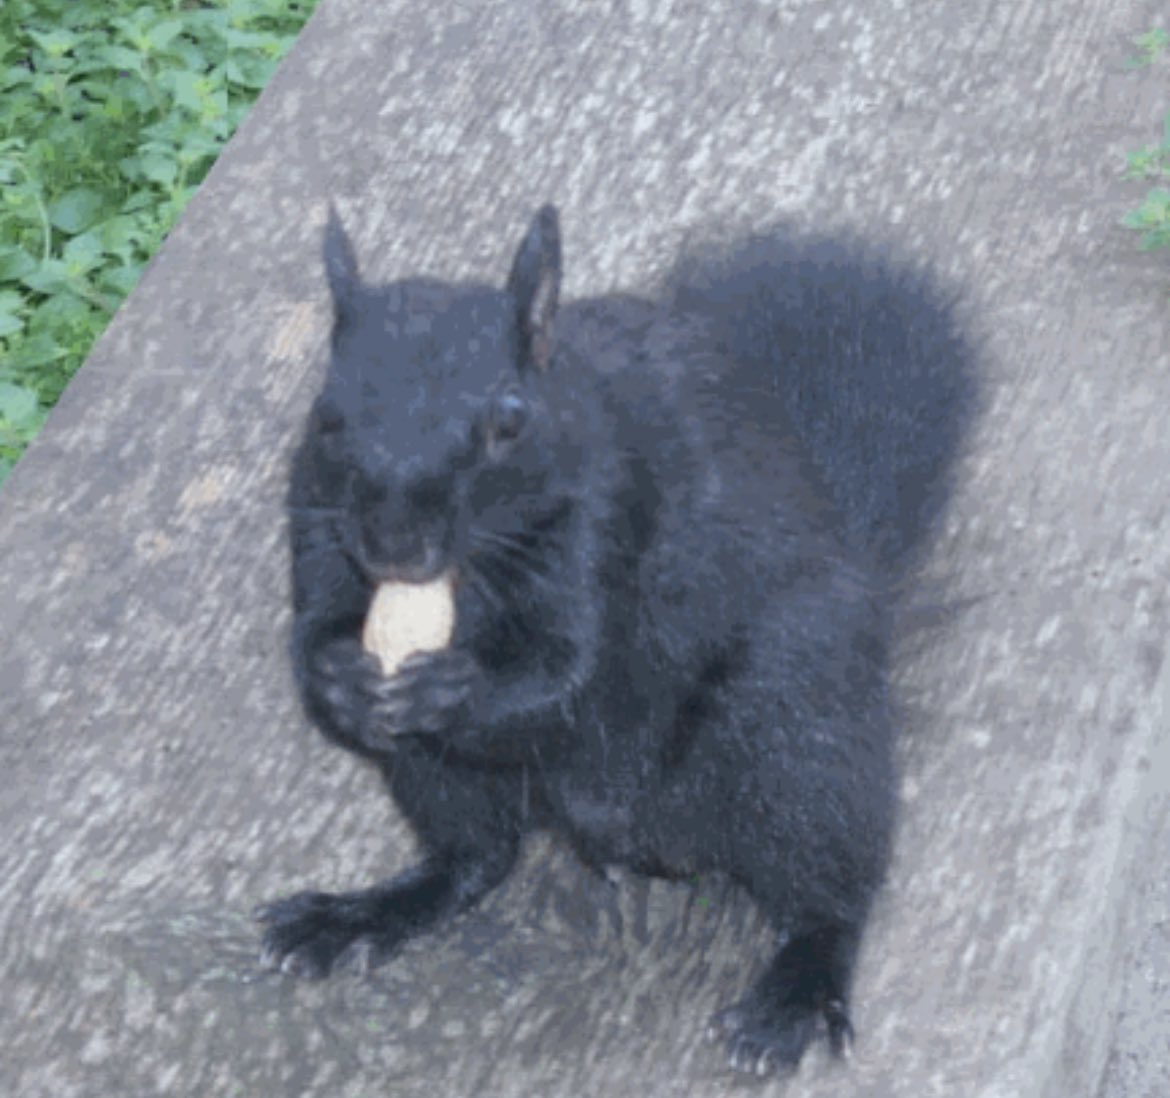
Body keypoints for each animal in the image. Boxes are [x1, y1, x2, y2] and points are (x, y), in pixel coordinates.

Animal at [256, 203, 977, 1077]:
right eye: (327, 415)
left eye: (509, 420)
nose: (394, 545)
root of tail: (639, 840)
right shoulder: (316, 516)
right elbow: (313, 626)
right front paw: (339, 679)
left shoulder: (614, 519)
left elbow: (571, 677)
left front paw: (452, 691)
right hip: (438, 776)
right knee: (476, 858)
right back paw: (360, 916)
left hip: (793, 723)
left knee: (830, 882)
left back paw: (796, 993)